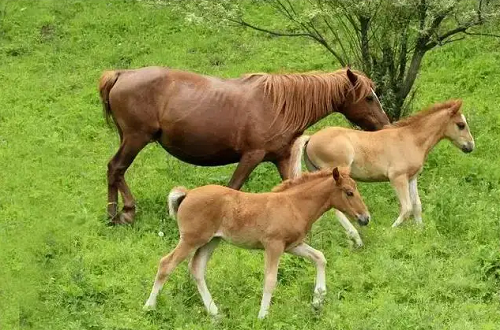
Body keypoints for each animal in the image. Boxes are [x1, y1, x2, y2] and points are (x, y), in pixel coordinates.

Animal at [96, 66, 386, 224]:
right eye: (369, 97)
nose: (384, 124)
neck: (279, 104)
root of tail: (122, 74)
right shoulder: (251, 157)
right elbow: (233, 188)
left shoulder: (281, 158)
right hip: (135, 139)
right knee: (115, 168)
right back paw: (120, 214)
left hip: (130, 139)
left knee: (116, 171)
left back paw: (121, 212)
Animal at [143, 169, 370, 318]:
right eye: (349, 192)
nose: (365, 218)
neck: (294, 205)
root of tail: (187, 194)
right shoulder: (274, 245)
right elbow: (270, 280)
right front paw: (262, 316)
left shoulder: (293, 245)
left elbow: (320, 258)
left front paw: (317, 301)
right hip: (191, 239)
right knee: (166, 264)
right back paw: (149, 307)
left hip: (211, 241)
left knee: (197, 268)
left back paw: (215, 313)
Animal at [290, 98, 472, 245]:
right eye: (461, 125)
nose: (471, 146)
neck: (411, 139)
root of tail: (311, 137)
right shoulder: (397, 178)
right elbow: (406, 208)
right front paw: (389, 233)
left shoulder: (412, 178)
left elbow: (416, 206)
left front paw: (420, 232)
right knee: (336, 208)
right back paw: (356, 238)